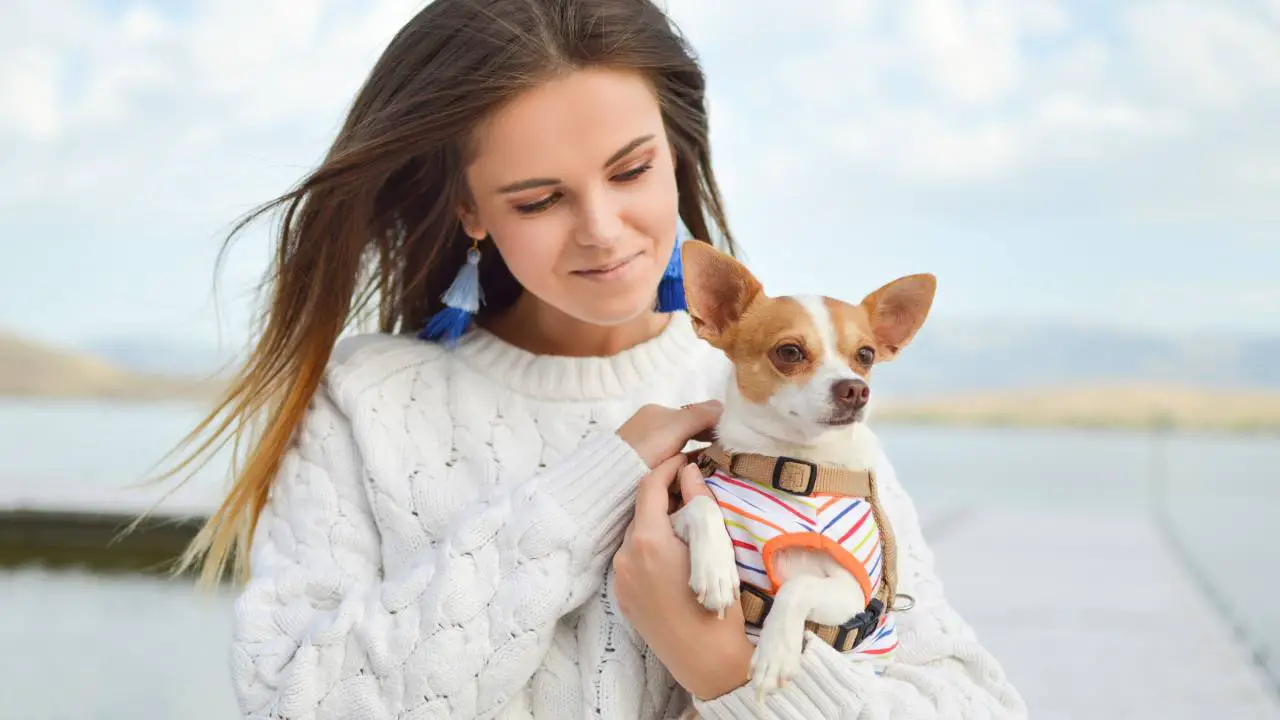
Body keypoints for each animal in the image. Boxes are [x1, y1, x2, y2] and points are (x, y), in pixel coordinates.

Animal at [670, 239, 942, 696]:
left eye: (865, 355)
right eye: (790, 352)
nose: (856, 388)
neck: (797, 465)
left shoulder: (852, 592)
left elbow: (797, 586)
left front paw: (775, 653)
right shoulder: (674, 516)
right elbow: (702, 506)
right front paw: (717, 570)